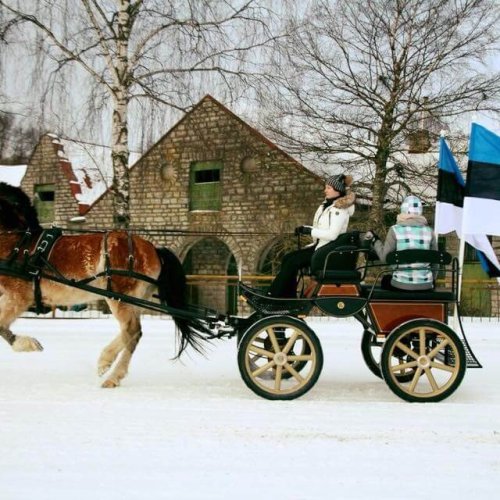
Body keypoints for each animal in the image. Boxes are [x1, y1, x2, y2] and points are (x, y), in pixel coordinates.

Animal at [0, 182, 207, 388]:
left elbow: (1, 324)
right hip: (134, 299)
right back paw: (108, 365)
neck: (17, 243)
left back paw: (110, 372)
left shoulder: (18, 297)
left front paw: (27, 344)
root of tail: (153, 249)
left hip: (119, 297)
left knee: (132, 331)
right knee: (131, 333)